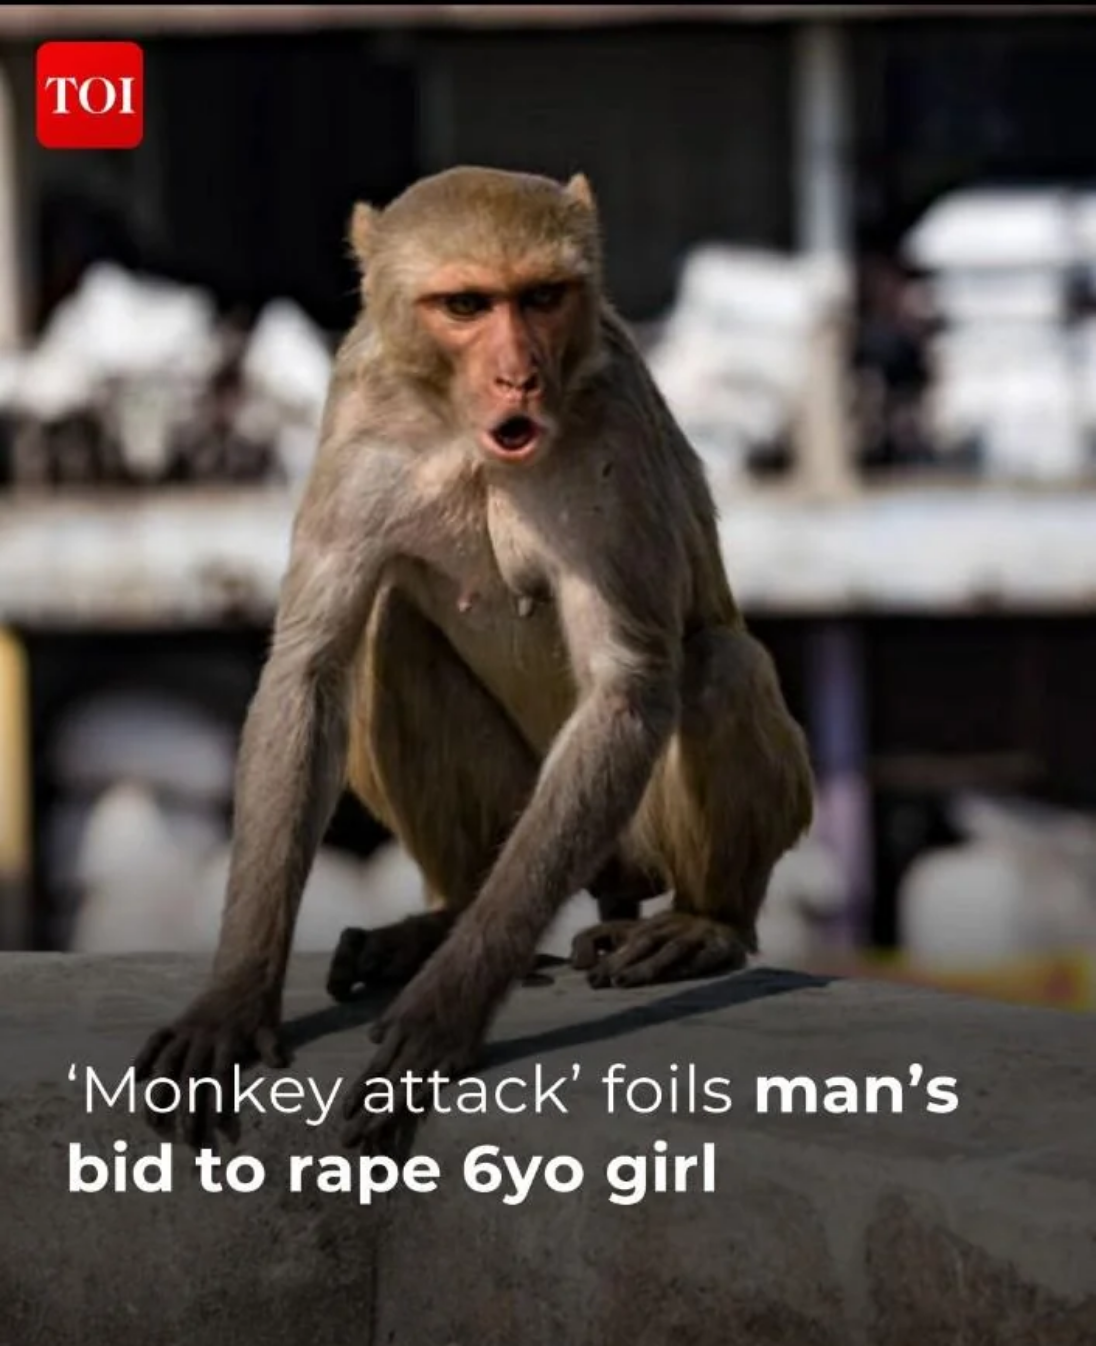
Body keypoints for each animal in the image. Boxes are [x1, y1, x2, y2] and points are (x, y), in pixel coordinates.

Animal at [133, 166, 814, 1154]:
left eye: (541, 296)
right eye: (465, 305)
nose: (519, 373)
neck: (462, 432)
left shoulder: (611, 434)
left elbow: (628, 688)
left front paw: (448, 1008)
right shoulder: (358, 417)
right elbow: (311, 669)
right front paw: (233, 996)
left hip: (623, 836)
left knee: (720, 666)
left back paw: (704, 923)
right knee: (392, 640)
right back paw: (445, 915)